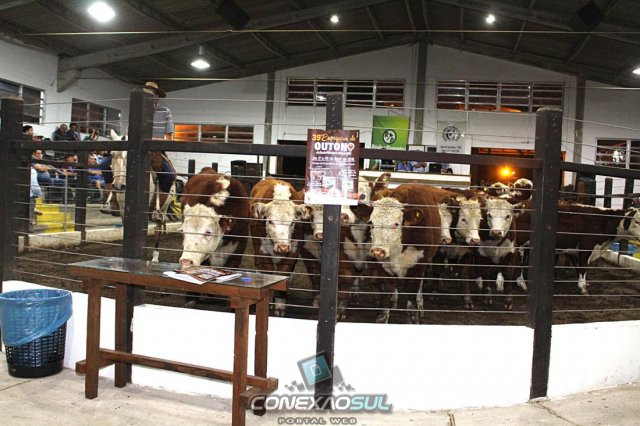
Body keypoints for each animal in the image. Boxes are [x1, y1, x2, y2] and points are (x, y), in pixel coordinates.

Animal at [249, 178, 311, 316]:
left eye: (293, 222)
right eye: (270, 221)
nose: (283, 247)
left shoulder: (293, 250)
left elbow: (284, 273)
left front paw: (279, 305)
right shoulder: (262, 251)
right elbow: (268, 274)